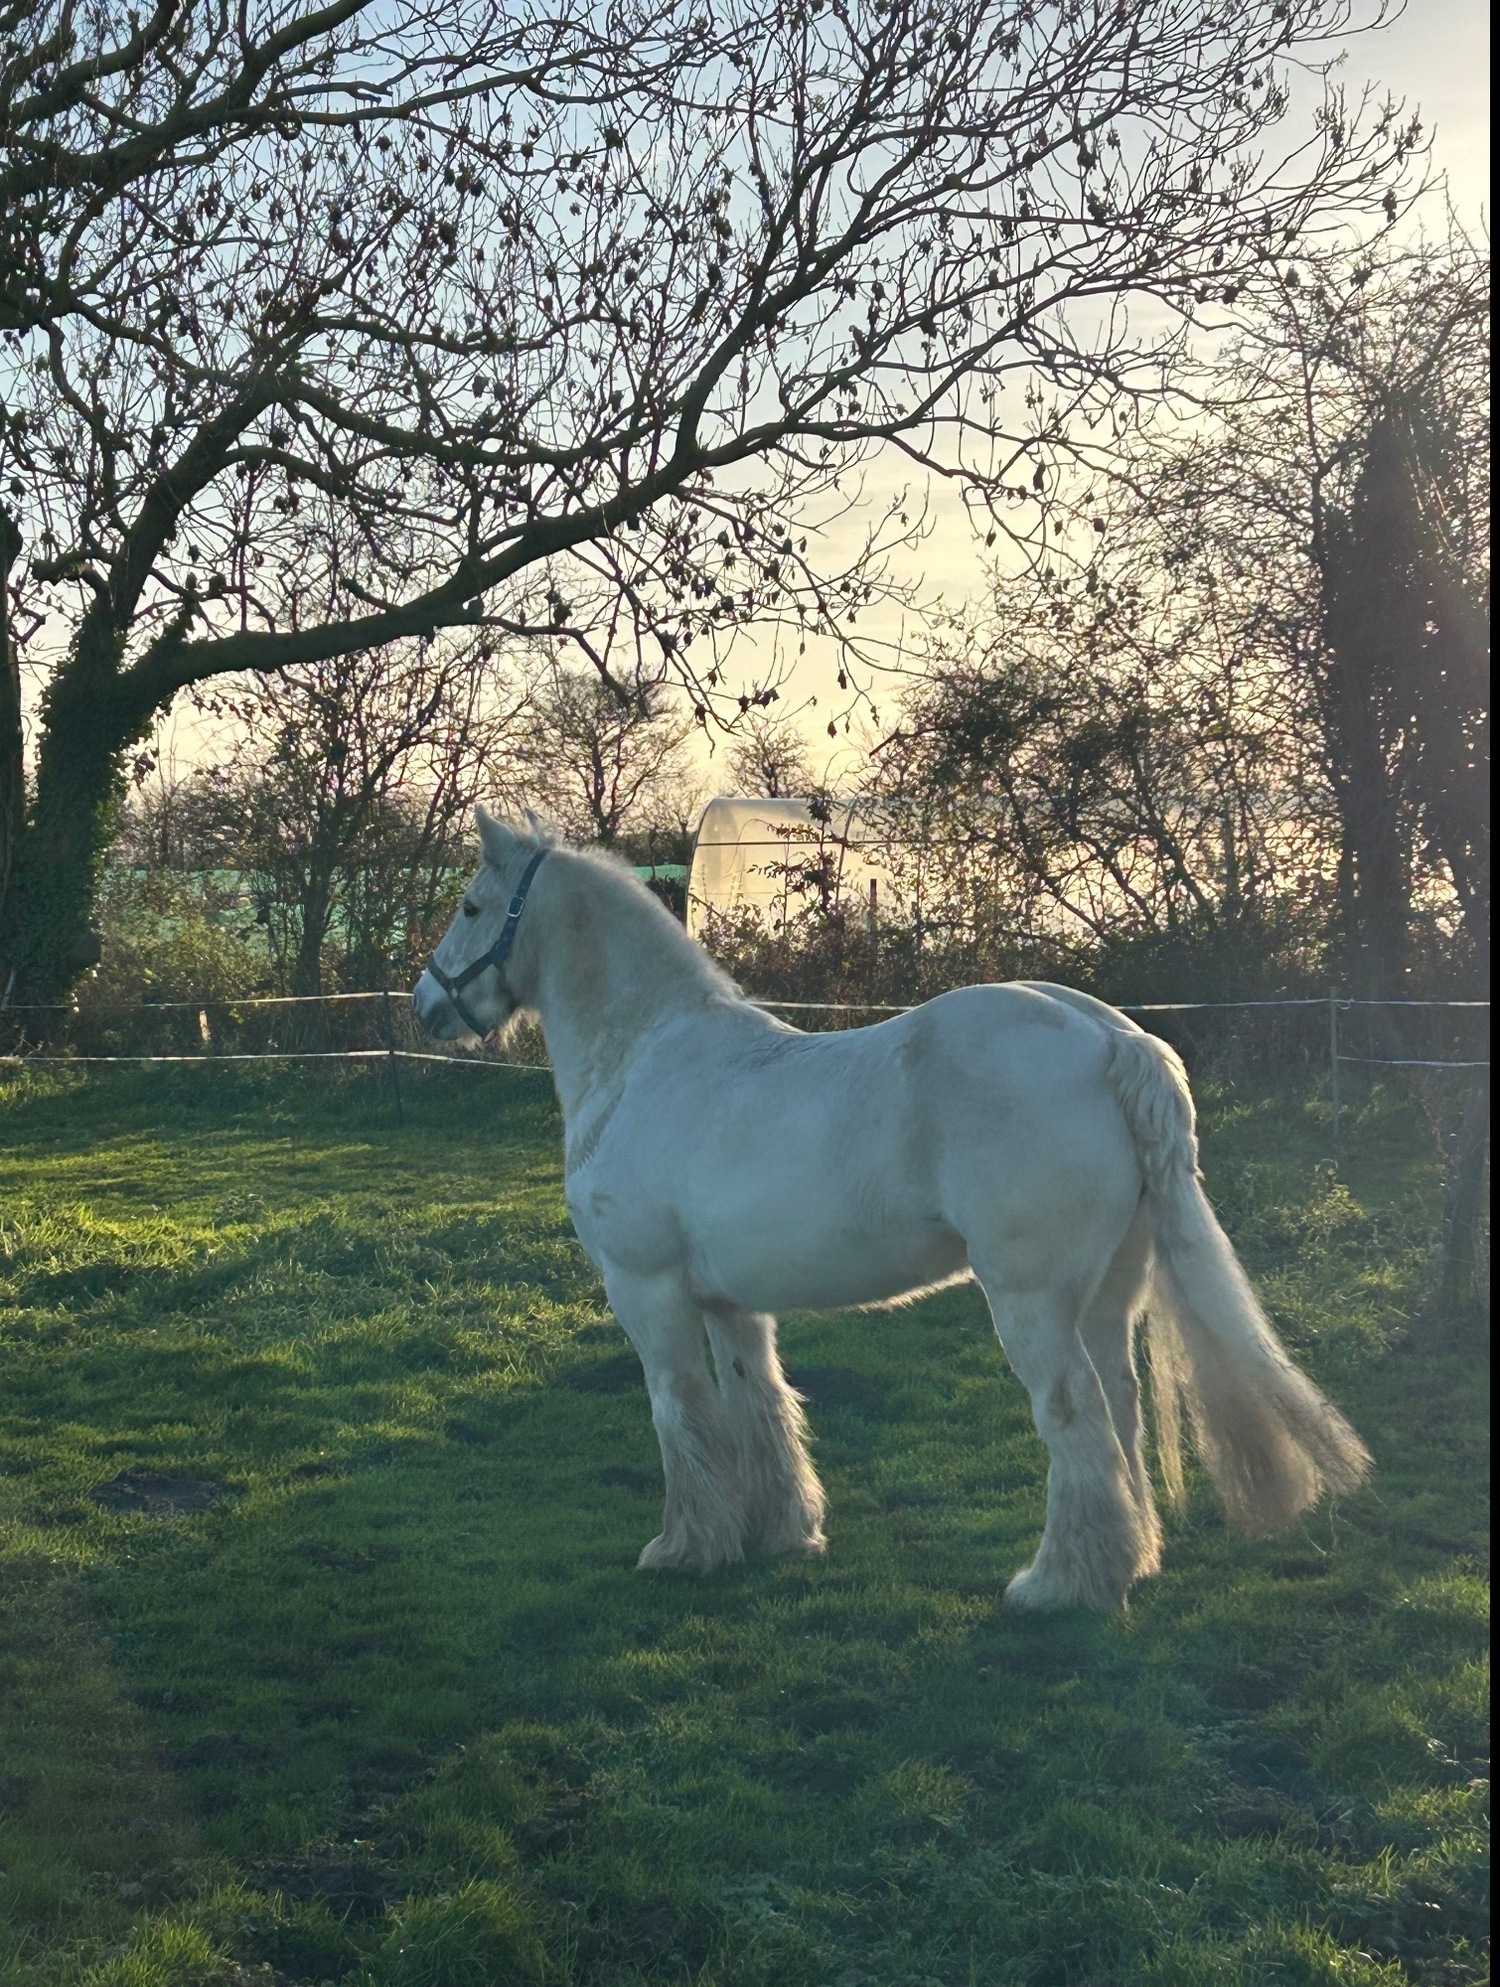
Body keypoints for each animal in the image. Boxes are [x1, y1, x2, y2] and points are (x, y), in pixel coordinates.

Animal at [412, 808, 1370, 1611]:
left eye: (470, 903)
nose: (425, 1005)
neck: (644, 1055)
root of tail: (1114, 1038)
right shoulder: (728, 1302)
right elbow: (759, 1405)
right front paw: (782, 1531)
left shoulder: (646, 1291)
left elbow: (678, 1410)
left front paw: (684, 1547)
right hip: (1106, 1299)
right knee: (1119, 1407)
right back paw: (1126, 1561)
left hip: (1031, 1302)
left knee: (1073, 1415)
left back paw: (1059, 1583)